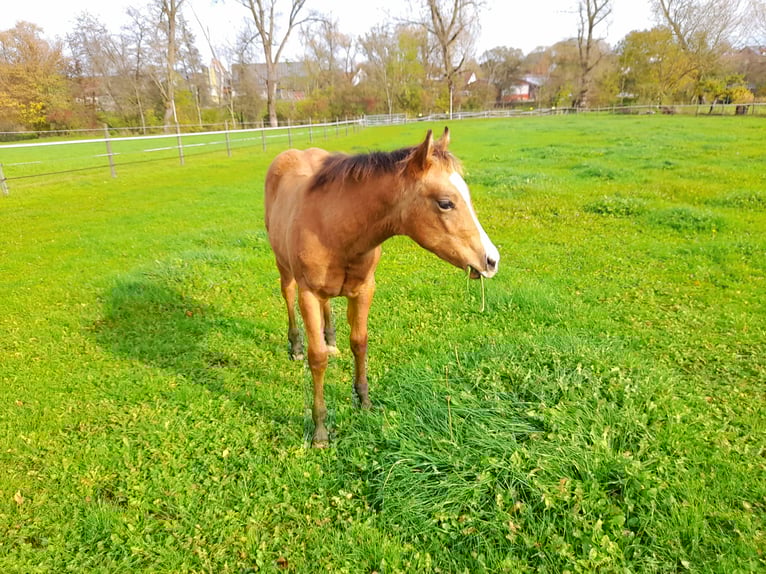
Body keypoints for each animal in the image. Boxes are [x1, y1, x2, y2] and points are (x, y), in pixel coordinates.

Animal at [264, 127, 499, 446]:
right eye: (445, 202)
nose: (491, 261)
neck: (334, 228)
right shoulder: (308, 293)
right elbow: (317, 359)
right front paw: (320, 431)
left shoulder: (365, 289)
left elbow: (359, 343)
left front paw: (364, 402)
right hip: (284, 267)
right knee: (288, 295)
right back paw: (296, 346)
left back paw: (331, 339)